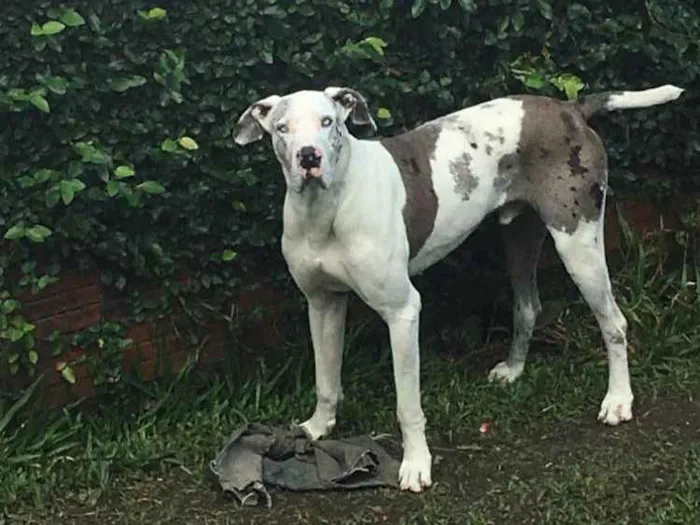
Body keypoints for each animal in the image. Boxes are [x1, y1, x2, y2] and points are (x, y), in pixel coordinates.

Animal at [234, 83, 684, 492]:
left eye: (329, 122)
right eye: (282, 128)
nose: (308, 157)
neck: (327, 208)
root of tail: (570, 108)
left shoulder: (402, 312)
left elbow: (407, 404)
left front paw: (416, 465)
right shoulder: (323, 303)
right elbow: (326, 378)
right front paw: (317, 428)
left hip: (578, 243)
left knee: (614, 323)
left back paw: (618, 400)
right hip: (519, 237)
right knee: (528, 306)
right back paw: (514, 369)